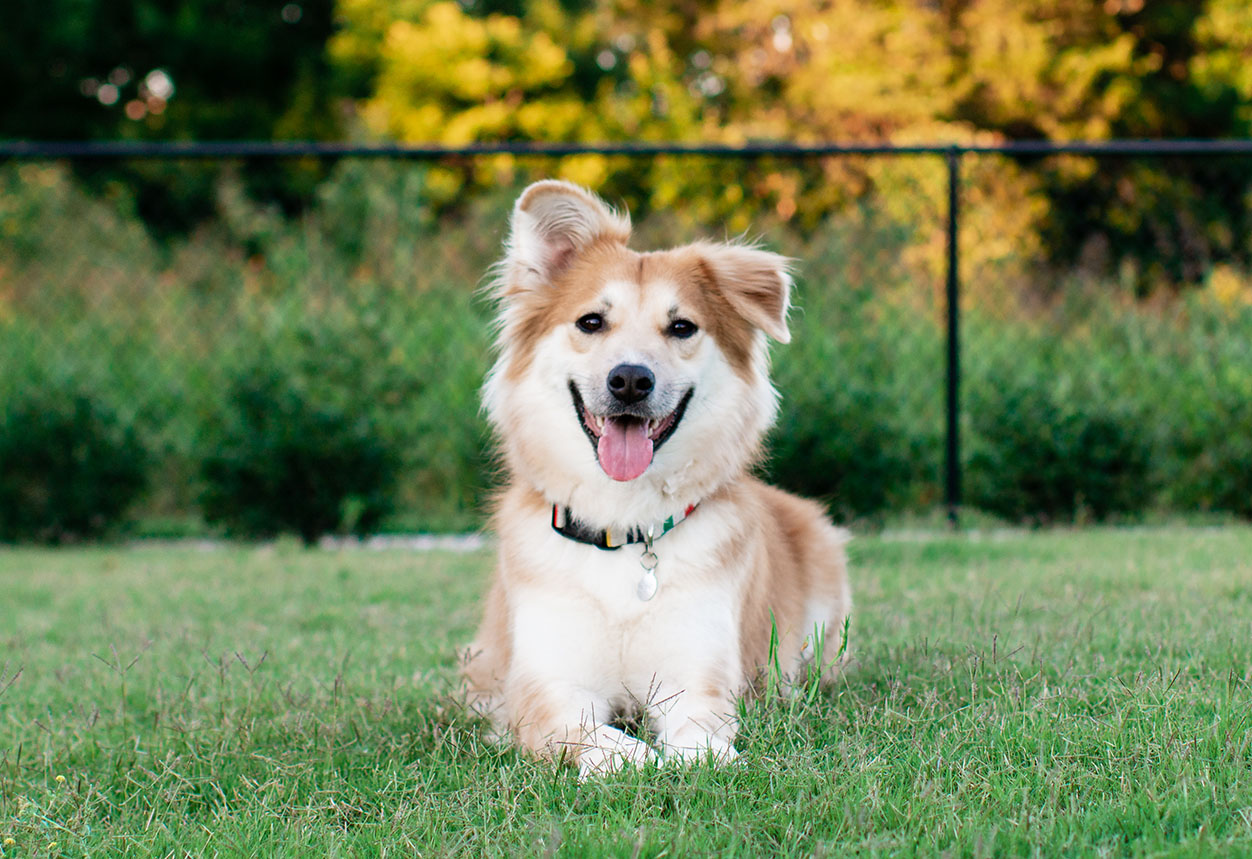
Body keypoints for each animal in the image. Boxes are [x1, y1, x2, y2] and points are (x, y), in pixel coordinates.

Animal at [465, 181, 856, 781]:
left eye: (681, 327)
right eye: (591, 322)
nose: (629, 380)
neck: (623, 525)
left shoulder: (697, 673)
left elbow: (701, 730)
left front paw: (699, 758)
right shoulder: (545, 687)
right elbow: (585, 731)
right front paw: (628, 758)